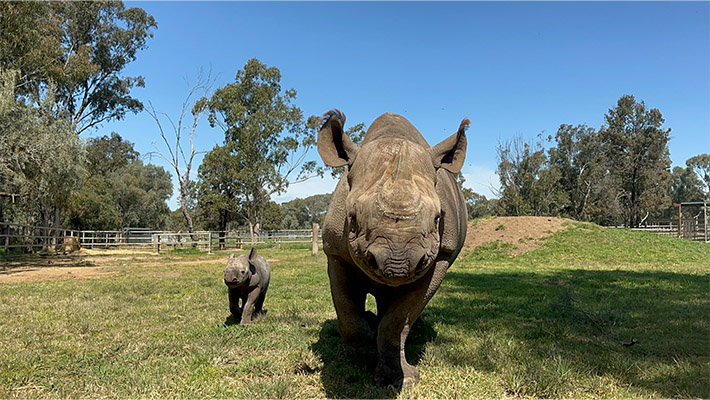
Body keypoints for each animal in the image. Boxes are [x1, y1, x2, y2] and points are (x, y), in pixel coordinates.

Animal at [320, 109, 470, 388]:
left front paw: (400, 379)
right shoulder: (334, 250)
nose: (398, 263)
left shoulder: (440, 255)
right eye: (352, 217)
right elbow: (347, 314)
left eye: (437, 218)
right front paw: (368, 330)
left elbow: (398, 321)